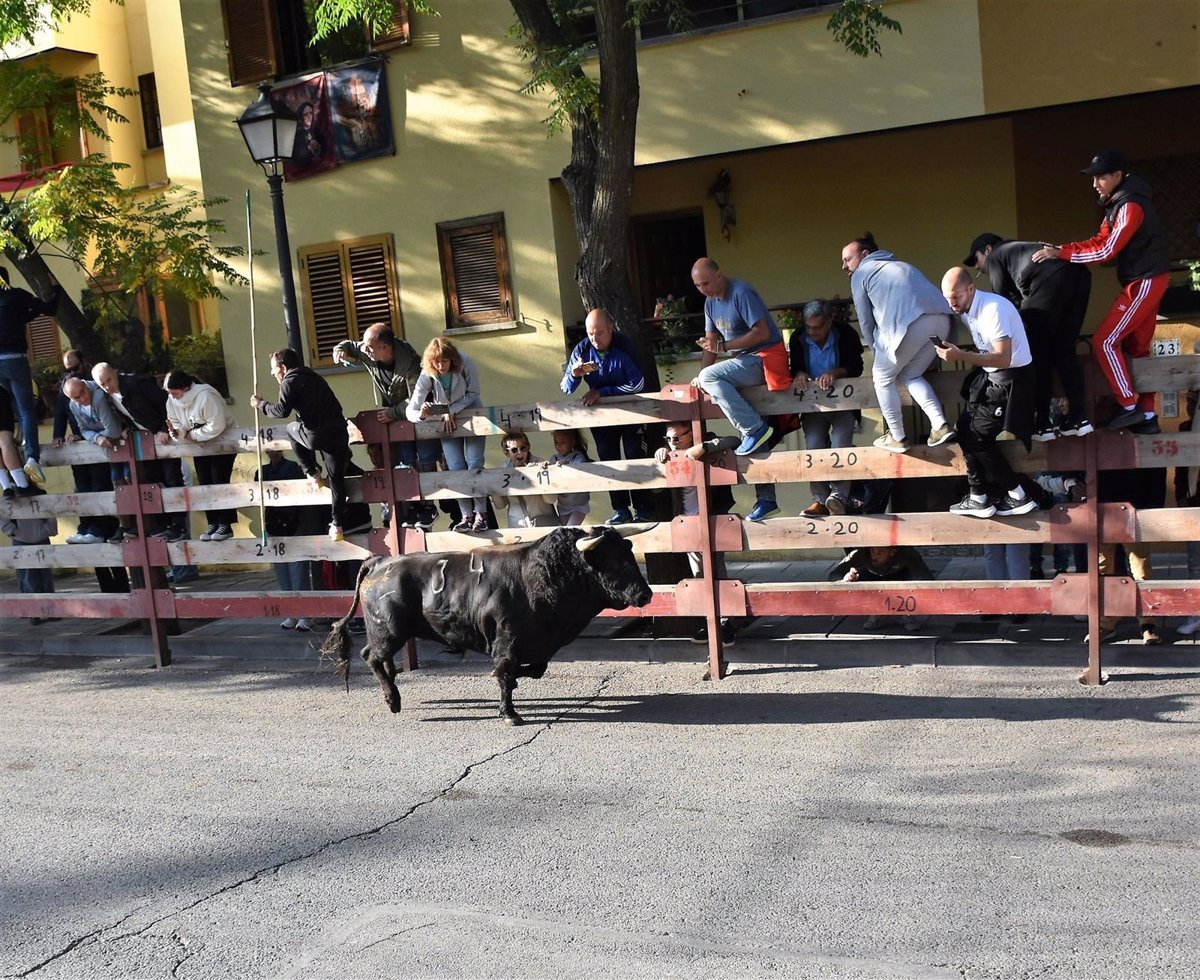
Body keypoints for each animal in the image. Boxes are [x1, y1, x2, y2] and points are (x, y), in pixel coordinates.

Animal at [319, 527, 652, 719]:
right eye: (613, 560)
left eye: (628, 553)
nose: (645, 594)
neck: (542, 575)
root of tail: (380, 562)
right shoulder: (508, 640)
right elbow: (505, 672)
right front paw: (510, 713)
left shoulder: (537, 645)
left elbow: (533, 670)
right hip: (389, 631)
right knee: (372, 657)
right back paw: (393, 700)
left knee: (378, 658)